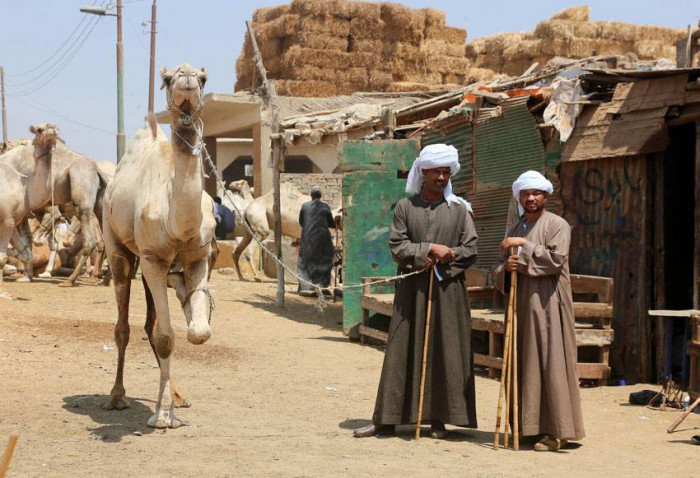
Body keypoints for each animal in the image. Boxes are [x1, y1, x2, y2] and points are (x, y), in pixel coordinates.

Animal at [0, 125, 106, 288]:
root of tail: (97, 169)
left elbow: (34, 240)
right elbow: (28, 240)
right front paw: (26, 275)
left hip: (82, 200)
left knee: (90, 240)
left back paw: (72, 279)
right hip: (99, 204)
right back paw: (102, 277)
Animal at [101, 64, 215, 430]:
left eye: (203, 78)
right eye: (167, 79)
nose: (187, 81)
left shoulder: (197, 258)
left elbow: (197, 332)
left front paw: (169, 407)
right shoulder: (152, 259)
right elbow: (167, 337)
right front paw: (162, 417)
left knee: (152, 326)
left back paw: (177, 396)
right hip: (119, 249)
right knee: (124, 326)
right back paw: (117, 396)